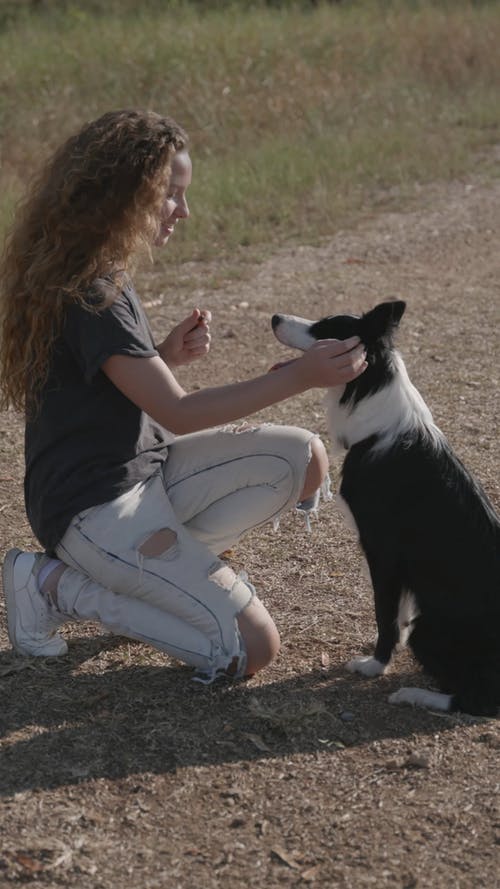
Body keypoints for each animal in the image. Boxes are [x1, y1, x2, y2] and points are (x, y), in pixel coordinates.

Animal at [274, 302, 500, 720]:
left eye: (324, 328)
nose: (275, 319)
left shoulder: (383, 551)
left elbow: (385, 613)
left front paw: (375, 664)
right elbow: (394, 615)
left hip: (431, 626)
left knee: (479, 700)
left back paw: (413, 694)